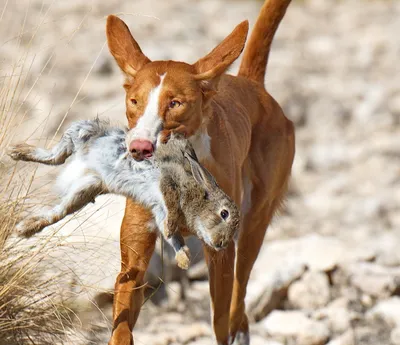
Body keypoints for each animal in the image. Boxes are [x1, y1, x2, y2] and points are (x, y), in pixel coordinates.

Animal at [106, 0, 294, 344]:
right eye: (134, 101)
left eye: (175, 103)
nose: (139, 147)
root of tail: (252, 85)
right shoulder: (134, 255)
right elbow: (121, 325)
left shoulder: (220, 251)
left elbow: (220, 319)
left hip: (254, 225)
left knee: (239, 299)